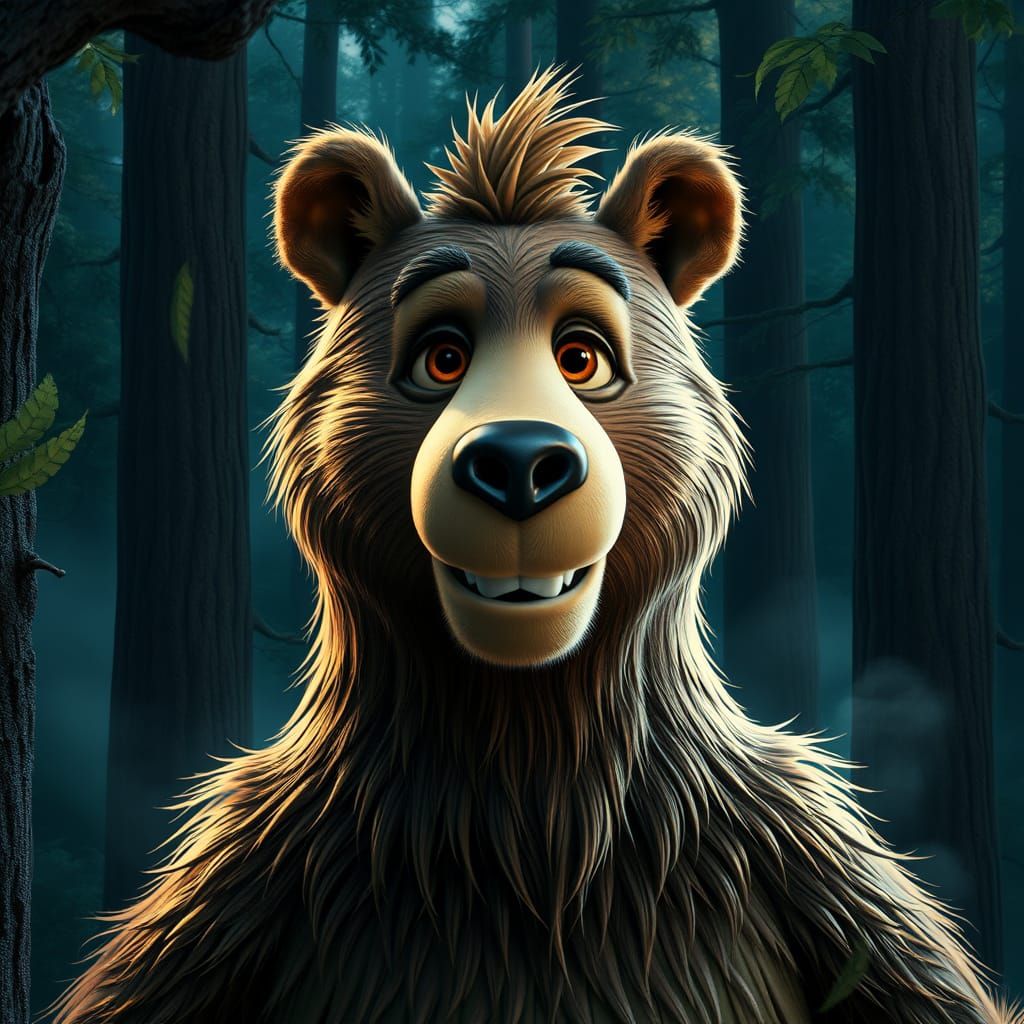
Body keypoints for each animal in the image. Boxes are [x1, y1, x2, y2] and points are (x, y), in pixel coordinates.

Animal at [53, 68, 1018, 1024]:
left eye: (581, 356)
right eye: (441, 357)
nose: (519, 463)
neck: (532, 799)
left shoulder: (806, 865)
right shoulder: (243, 882)